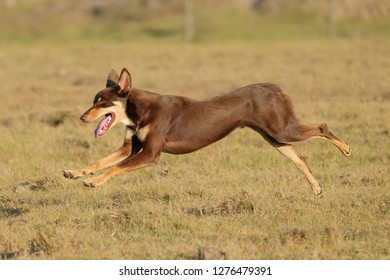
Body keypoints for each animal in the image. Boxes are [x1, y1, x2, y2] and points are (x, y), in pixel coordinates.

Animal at [63, 68, 350, 195]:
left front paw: (93, 181)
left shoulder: (150, 153)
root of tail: (275, 88)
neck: (138, 111)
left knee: (322, 128)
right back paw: (316, 188)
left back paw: (346, 148)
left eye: (102, 102)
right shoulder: (130, 148)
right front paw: (76, 172)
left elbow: (114, 168)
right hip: (275, 137)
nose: (82, 117)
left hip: (283, 129)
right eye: (94, 101)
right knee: (300, 158)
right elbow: (100, 161)